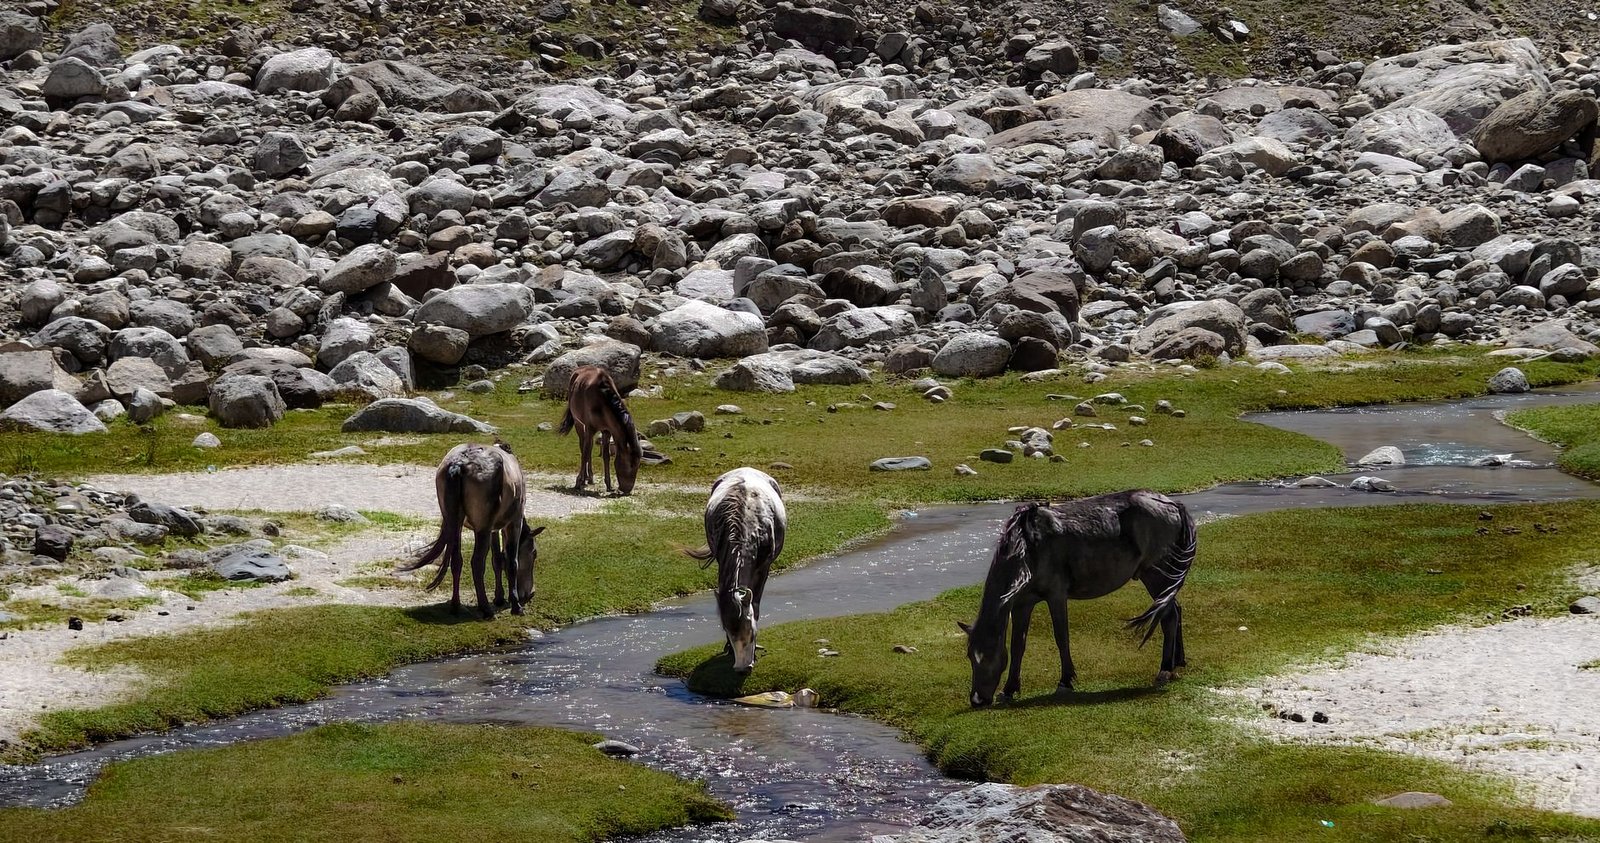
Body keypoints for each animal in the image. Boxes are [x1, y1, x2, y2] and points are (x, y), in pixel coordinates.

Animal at [398, 442, 546, 618]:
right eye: (534, 553)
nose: (530, 593)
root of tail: (459, 463)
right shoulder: (513, 523)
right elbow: (511, 562)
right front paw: (515, 605)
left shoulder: (494, 529)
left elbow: (497, 560)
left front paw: (499, 597)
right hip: (482, 528)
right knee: (477, 563)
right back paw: (486, 609)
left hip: (456, 524)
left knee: (457, 560)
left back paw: (456, 605)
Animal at [557, 365, 642, 496]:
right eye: (630, 464)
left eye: (638, 465)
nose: (627, 489)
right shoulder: (589, 427)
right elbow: (585, 453)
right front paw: (579, 481)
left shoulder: (607, 430)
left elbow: (606, 456)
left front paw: (609, 485)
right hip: (578, 422)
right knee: (583, 446)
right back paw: (585, 478)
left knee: (589, 446)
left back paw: (590, 478)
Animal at [957, 490, 1197, 707]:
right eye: (970, 656)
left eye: (988, 656)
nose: (977, 700)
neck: (1028, 547)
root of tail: (1172, 505)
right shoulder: (1022, 605)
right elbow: (1018, 645)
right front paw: (1009, 690)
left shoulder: (1056, 596)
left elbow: (1061, 637)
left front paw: (1065, 681)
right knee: (1174, 610)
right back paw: (1177, 662)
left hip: (1156, 575)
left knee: (1169, 616)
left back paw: (1165, 670)